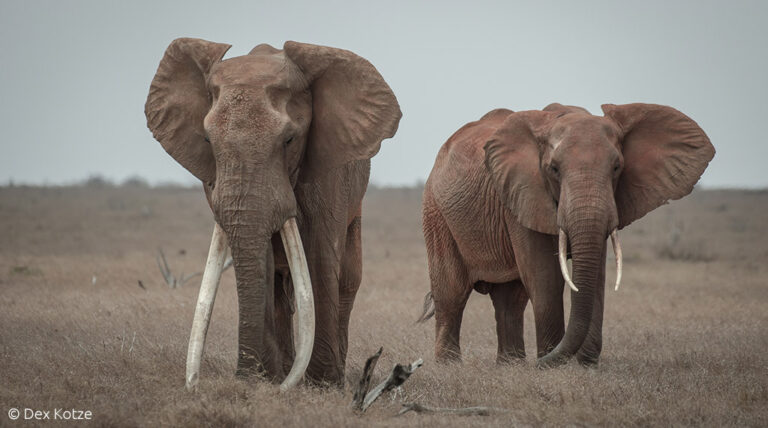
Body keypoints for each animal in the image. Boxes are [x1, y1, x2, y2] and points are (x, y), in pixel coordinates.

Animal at [143, 38, 402, 390]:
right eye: (208, 140)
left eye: (289, 140)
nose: (241, 376)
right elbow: (261, 259)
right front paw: (261, 380)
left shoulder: (327, 169)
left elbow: (320, 255)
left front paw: (322, 385)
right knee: (281, 284)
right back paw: (285, 370)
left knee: (348, 276)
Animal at [420, 103, 712, 368]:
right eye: (554, 169)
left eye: (617, 167)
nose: (538, 363)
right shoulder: (522, 194)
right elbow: (545, 275)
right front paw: (553, 363)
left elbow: (596, 274)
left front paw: (584, 365)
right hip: (437, 212)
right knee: (452, 293)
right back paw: (451, 366)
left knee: (510, 299)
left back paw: (510, 365)